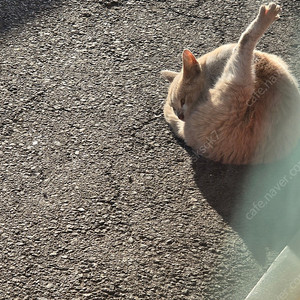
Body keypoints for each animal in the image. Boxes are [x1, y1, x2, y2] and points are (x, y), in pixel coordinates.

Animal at [162, 1, 300, 164]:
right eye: (174, 107)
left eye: (182, 100)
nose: (180, 116)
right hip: (237, 87)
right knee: (246, 42)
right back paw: (265, 18)